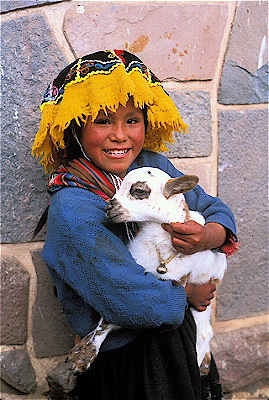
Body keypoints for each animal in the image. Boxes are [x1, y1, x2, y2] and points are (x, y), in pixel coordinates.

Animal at [67, 166, 226, 376]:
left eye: (139, 191)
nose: (109, 208)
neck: (157, 246)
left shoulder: (177, 282)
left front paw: (82, 356)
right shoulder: (135, 278)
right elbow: (111, 318)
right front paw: (82, 354)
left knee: (204, 326)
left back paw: (202, 361)